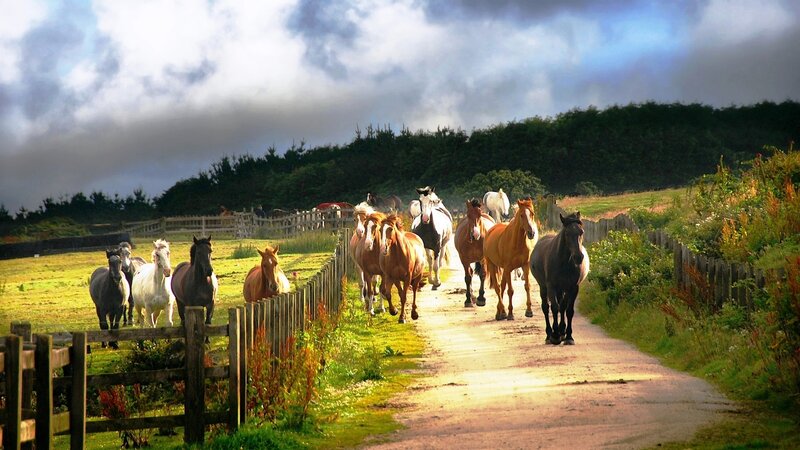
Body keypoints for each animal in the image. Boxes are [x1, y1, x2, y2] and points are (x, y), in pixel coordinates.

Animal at [530, 212, 590, 345]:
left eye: (582, 232)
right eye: (567, 233)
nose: (579, 257)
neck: (564, 262)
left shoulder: (573, 287)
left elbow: (568, 310)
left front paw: (568, 336)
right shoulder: (551, 287)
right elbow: (554, 308)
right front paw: (555, 335)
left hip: (562, 289)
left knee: (562, 307)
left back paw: (562, 332)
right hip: (544, 287)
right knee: (546, 308)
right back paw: (549, 334)